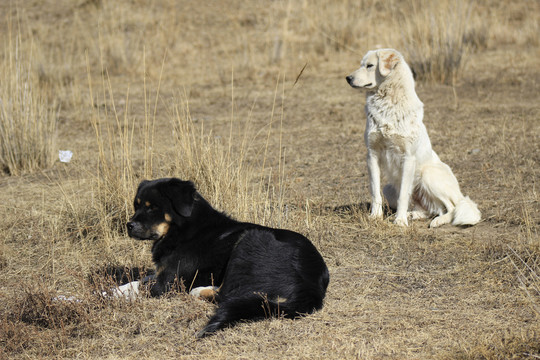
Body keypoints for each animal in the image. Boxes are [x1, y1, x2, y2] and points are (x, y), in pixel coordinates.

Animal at [126, 179, 330, 338]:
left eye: (153, 208)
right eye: (136, 205)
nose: (129, 225)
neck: (182, 228)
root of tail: (311, 282)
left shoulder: (167, 283)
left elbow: (136, 285)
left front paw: (116, 294)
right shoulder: (161, 274)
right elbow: (138, 280)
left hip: (250, 240)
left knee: (227, 295)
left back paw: (199, 291)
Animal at [346, 48, 480, 228]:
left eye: (370, 66)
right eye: (361, 64)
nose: (348, 78)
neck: (387, 102)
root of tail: (460, 194)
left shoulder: (408, 158)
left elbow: (403, 194)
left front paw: (400, 221)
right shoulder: (372, 154)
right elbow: (375, 191)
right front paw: (375, 216)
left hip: (428, 175)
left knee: (451, 208)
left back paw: (437, 221)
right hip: (389, 187)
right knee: (430, 209)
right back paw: (413, 215)